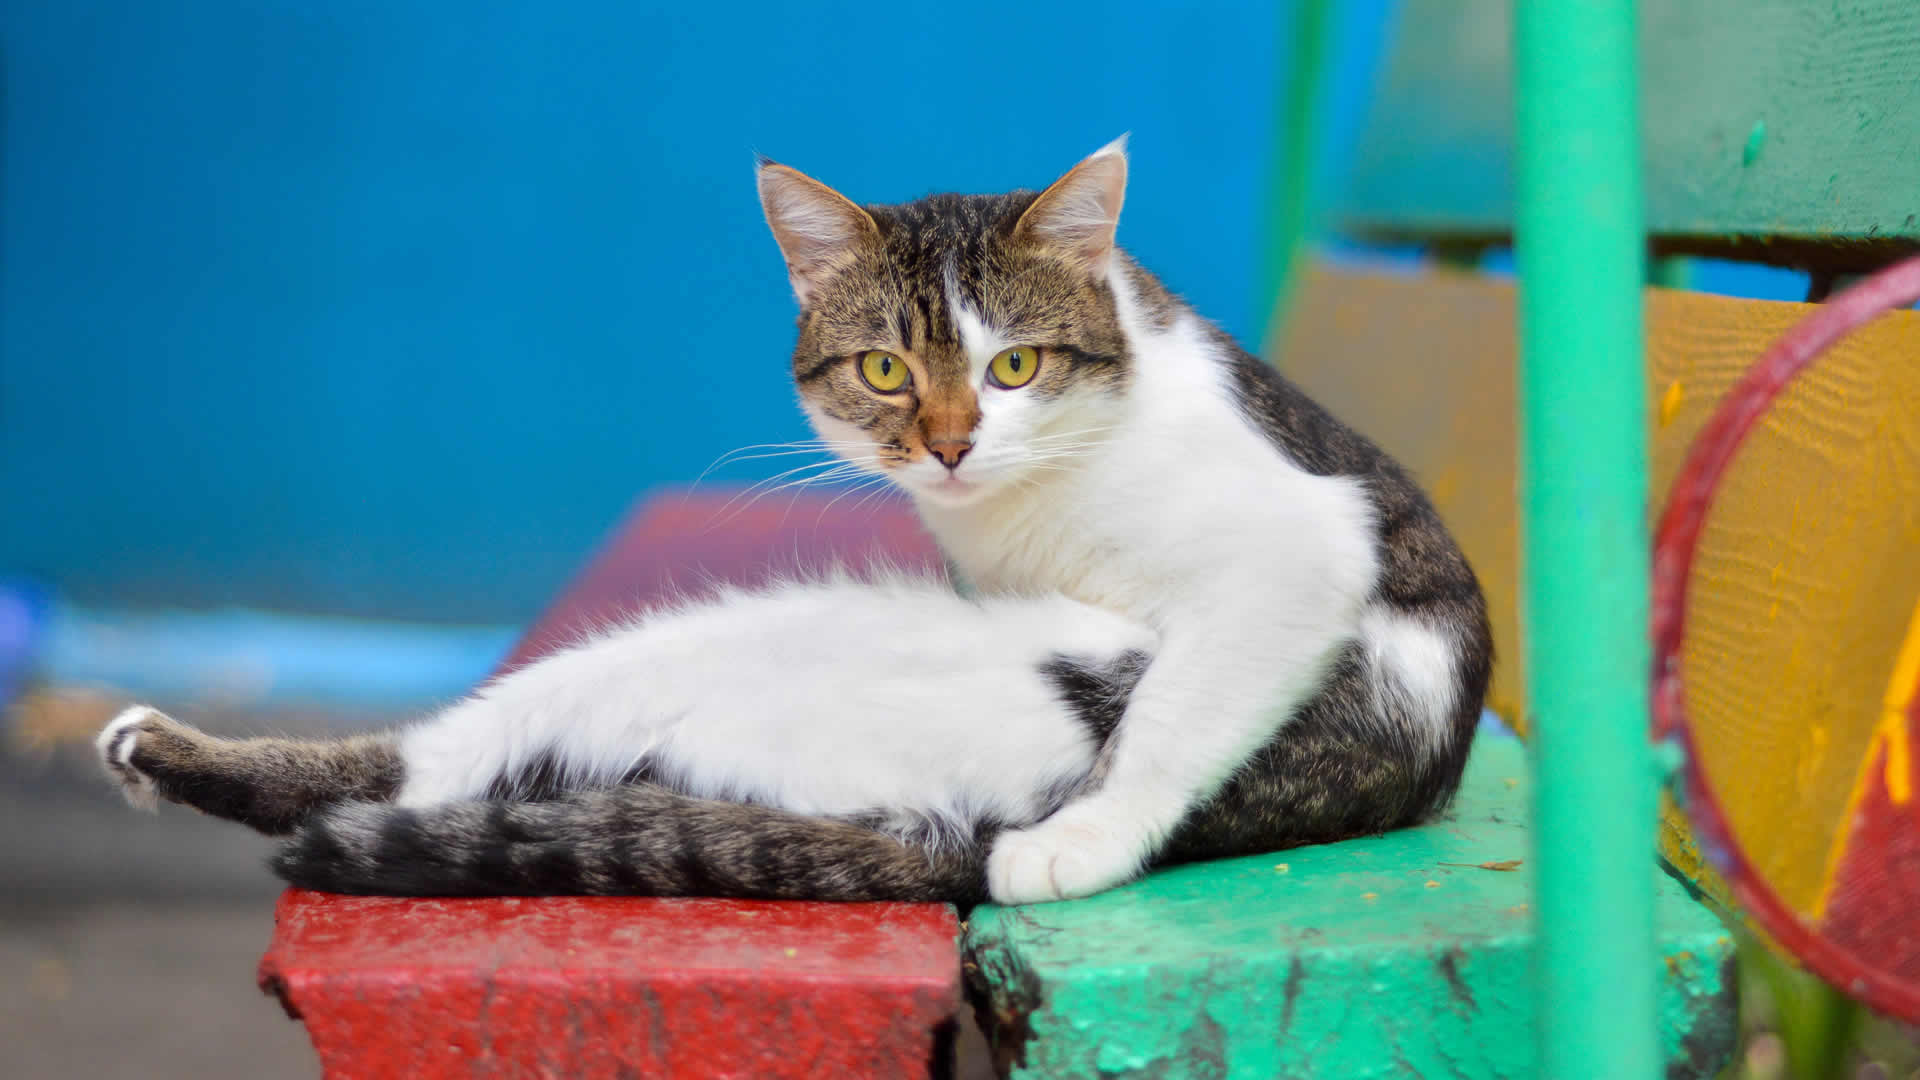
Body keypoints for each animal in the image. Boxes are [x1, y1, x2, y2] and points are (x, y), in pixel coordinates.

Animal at [97, 138, 1489, 903]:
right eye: (884, 371)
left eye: (1015, 367)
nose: (950, 444)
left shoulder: (1302, 550)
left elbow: (1181, 708)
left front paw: (1086, 836)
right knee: (433, 762)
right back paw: (162, 749)